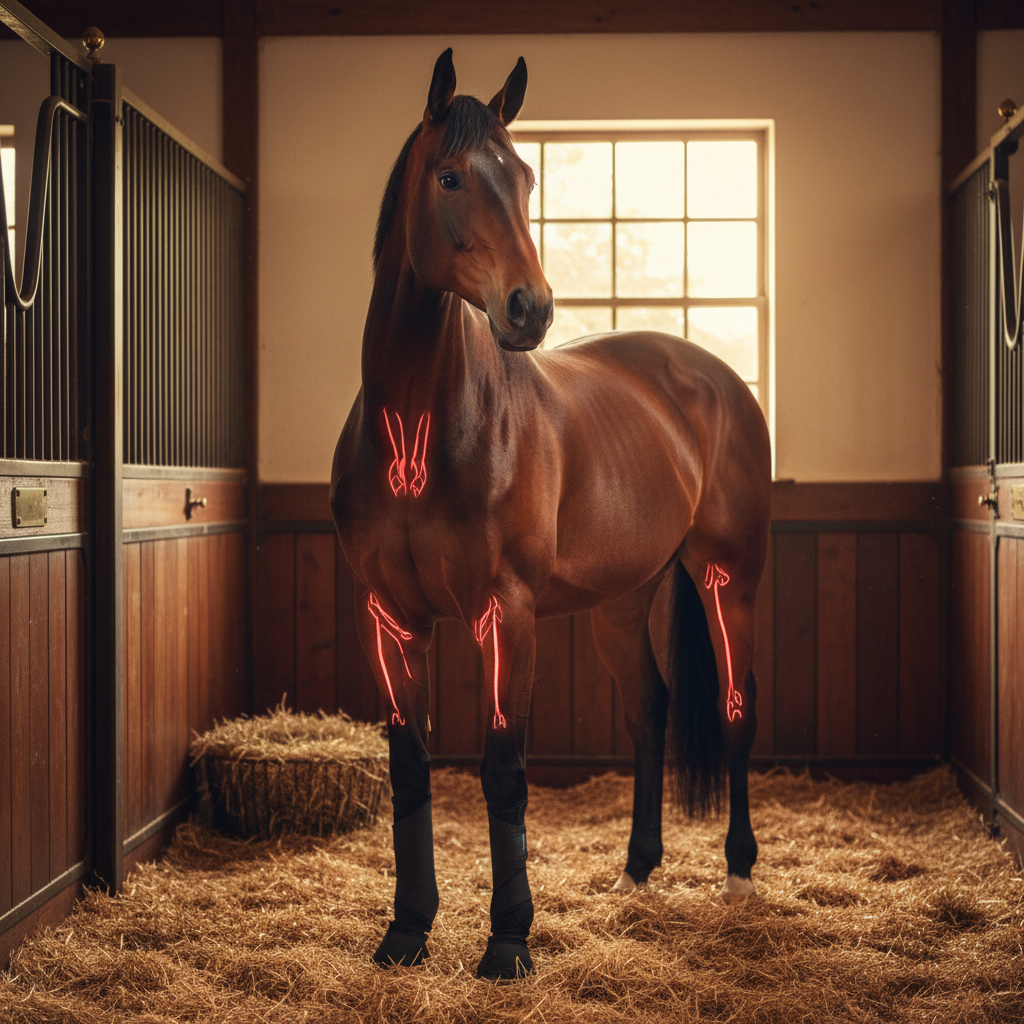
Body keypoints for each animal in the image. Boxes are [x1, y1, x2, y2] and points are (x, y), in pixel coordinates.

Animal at [330, 48, 772, 981]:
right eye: (451, 176)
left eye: (526, 177)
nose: (529, 308)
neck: (422, 433)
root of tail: (713, 379)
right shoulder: (388, 614)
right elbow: (410, 765)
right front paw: (407, 931)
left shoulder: (508, 612)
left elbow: (504, 769)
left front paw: (508, 942)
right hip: (622, 602)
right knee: (650, 711)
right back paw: (638, 870)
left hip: (729, 580)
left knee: (736, 708)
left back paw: (740, 874)